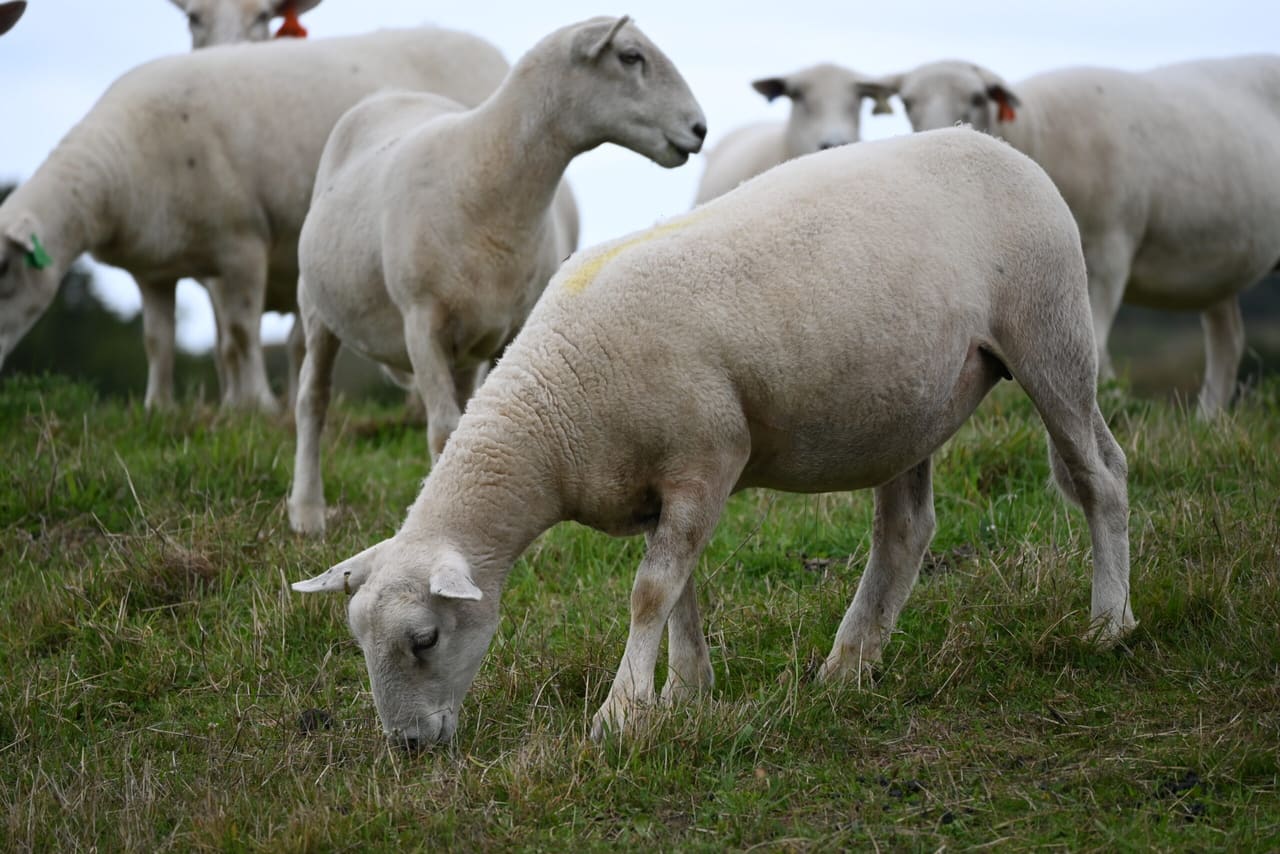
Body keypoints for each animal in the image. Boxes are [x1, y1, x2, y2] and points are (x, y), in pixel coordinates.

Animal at [0, 28, 509, 411]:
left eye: (6, 270)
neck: (119, 164)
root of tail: (489, 49)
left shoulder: (240, 244)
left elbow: (241, 335)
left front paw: (256, 406)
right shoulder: (155, 271)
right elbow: (157, 341)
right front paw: (158, 408)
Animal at [286, 16, 707, 536]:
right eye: (630, 56)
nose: (701, 129)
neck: (487, 176)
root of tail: (391, 96)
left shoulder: (511, 327)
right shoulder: (420, 320)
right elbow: (443, 429)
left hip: (466, 344)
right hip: (317, 309)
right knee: (313, 401)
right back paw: (307, 510)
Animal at [291, 127, 1135, 747]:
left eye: (423, 640)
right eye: (360, 643)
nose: (407, 747)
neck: (553, 410)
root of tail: (1001, 145)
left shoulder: (707, 459)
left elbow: (649, 592)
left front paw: (619, 715)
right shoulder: (658, 487)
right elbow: (681, 593)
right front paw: (685, 694)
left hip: (1050, 333)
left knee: (1100, 477)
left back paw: (1108, 623)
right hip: (913, 402)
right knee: (906, 529)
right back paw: (850, 664)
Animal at [873, 56, 1280, 416]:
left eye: (977, 97)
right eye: (906, 101)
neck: (1036, 129)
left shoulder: (1109, 251)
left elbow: (1096, 346)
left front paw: (1115, 405)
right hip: (1221, 270)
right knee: (1228, 342)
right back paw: (1208, 421)